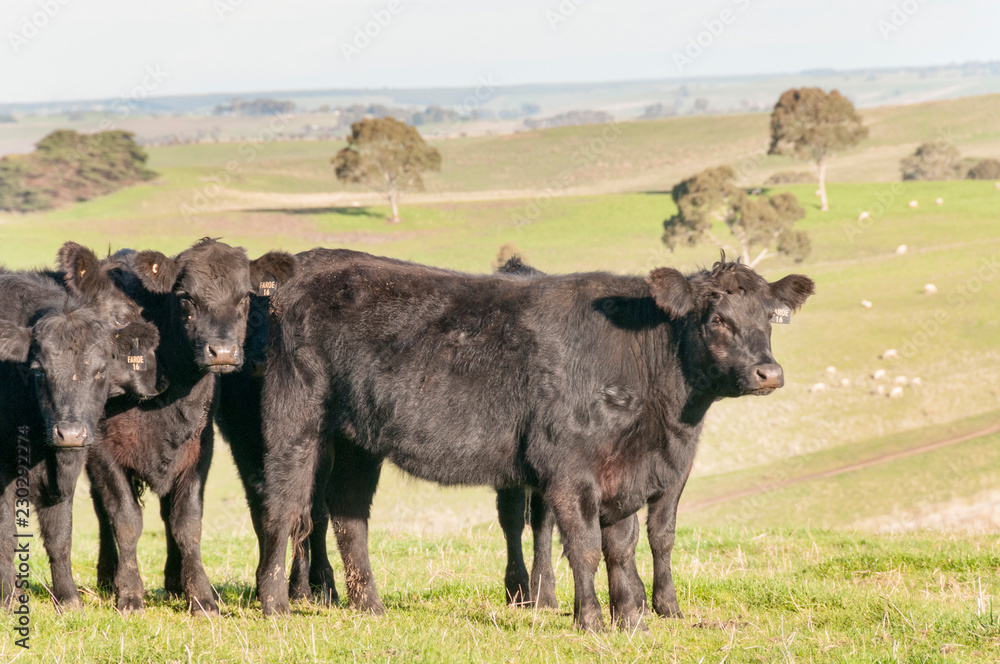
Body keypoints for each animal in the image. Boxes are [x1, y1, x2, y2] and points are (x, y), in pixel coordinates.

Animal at [0, 244, 162, 610]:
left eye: (100, 369)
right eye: (38, 370)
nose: (70, 433)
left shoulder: (67, 468)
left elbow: (60, 536)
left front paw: (68, 597)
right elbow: (6, 538)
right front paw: (8, 598)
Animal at [85, 238, 288, 615]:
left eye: (244, 297)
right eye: (186, 298)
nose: (222, 352)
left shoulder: (197, 449)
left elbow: (186, 523)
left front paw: (201, 596)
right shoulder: (102, 453)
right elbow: (125, 520)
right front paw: (130, 593)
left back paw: (174, 582)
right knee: (103, 513)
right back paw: (108, 577)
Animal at [254, 252, 814, 630]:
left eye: (769, 319)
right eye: (717, 319)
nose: (770, 373)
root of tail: (309, 264)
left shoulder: (626, 473)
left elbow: (623, 546)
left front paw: (632, 618)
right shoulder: (569, 467)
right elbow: (585, 546)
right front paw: (591, 620)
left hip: (358, 439)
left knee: (350, 515)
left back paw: (370, 605)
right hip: (295, 419)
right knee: (285, 508)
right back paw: (276, 605)